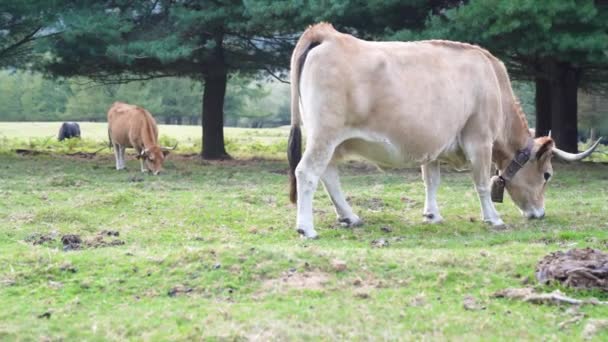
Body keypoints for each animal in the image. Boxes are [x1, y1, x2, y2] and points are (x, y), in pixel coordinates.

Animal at [286, 23, 600, 238]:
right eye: (547, 175)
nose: (540, 214)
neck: (493, 80)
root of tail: (328, 34)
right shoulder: (480, 140)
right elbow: (482, 182)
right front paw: (494, 218)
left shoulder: (432, 145)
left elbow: (431, 180)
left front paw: (432, 215)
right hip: (325, 135)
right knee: (307, 172)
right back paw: (306, 228)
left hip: (331, 141)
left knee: (328, 175)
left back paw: (350, 217)